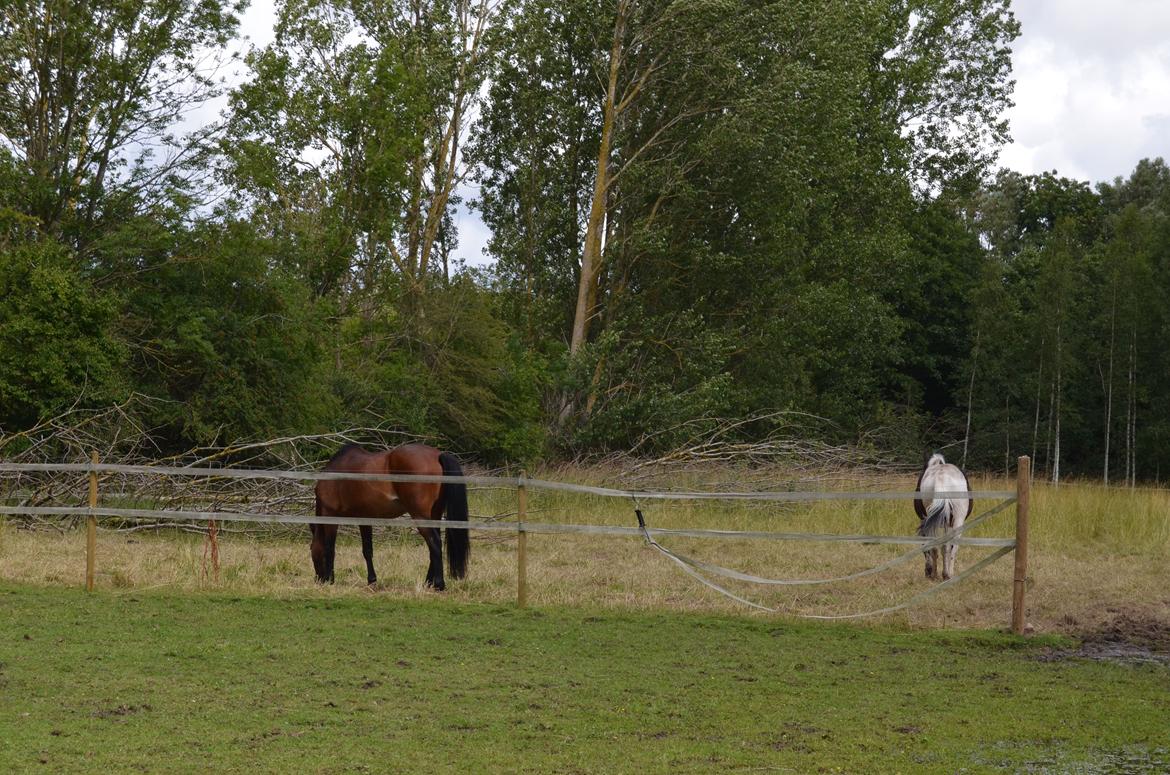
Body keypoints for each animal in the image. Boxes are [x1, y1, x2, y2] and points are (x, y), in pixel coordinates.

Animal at [315, 447, 470, 592]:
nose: (318, 580)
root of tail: (438, 455)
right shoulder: (364, 518)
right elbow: (367, 550)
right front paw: (372, 580)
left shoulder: (330, 515)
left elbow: (329, 548)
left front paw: (330, 579)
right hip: (434, 515)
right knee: (434, 546)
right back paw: (428, 582)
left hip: (420, 516)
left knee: (435, 543)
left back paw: (439, 584)